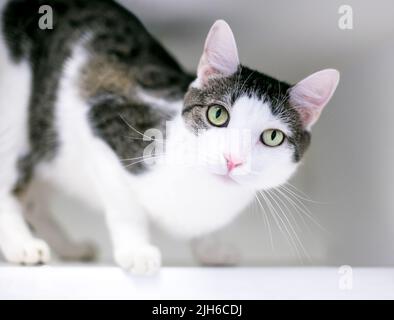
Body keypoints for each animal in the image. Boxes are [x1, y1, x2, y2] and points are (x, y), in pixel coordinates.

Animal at [0, 0, 338, 276]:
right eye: (218, 115)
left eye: (272, 137)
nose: (232, 160)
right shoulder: (102, 127)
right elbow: (125, 206)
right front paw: (137, 250)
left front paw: (210, 248)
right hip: (17, 115)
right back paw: (22, 245)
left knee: (35, 203)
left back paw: (69, 248)